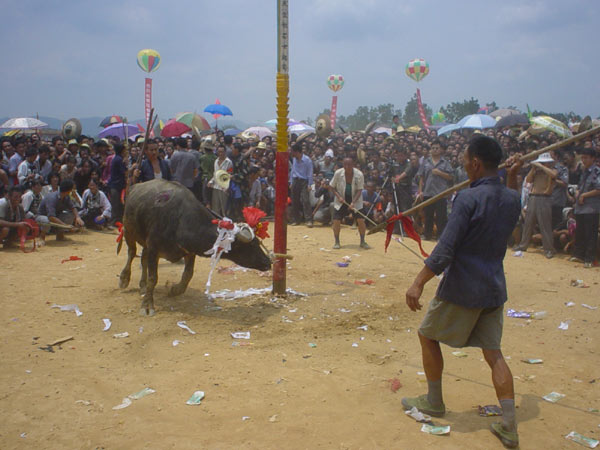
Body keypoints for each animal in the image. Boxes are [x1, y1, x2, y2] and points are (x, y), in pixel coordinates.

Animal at [118, 179, 272, 316]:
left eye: (258, 242)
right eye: (252, 245)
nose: (268, 262)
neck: (180, 220)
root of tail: (134, 186)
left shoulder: (189, 252)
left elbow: (188, 274)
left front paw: (175, 289)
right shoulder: (154, 249)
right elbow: (153, 278)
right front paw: (147, 305)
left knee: (142, 258)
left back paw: (142, 286)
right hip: (128, 230)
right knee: (132, 253)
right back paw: (124, 278)